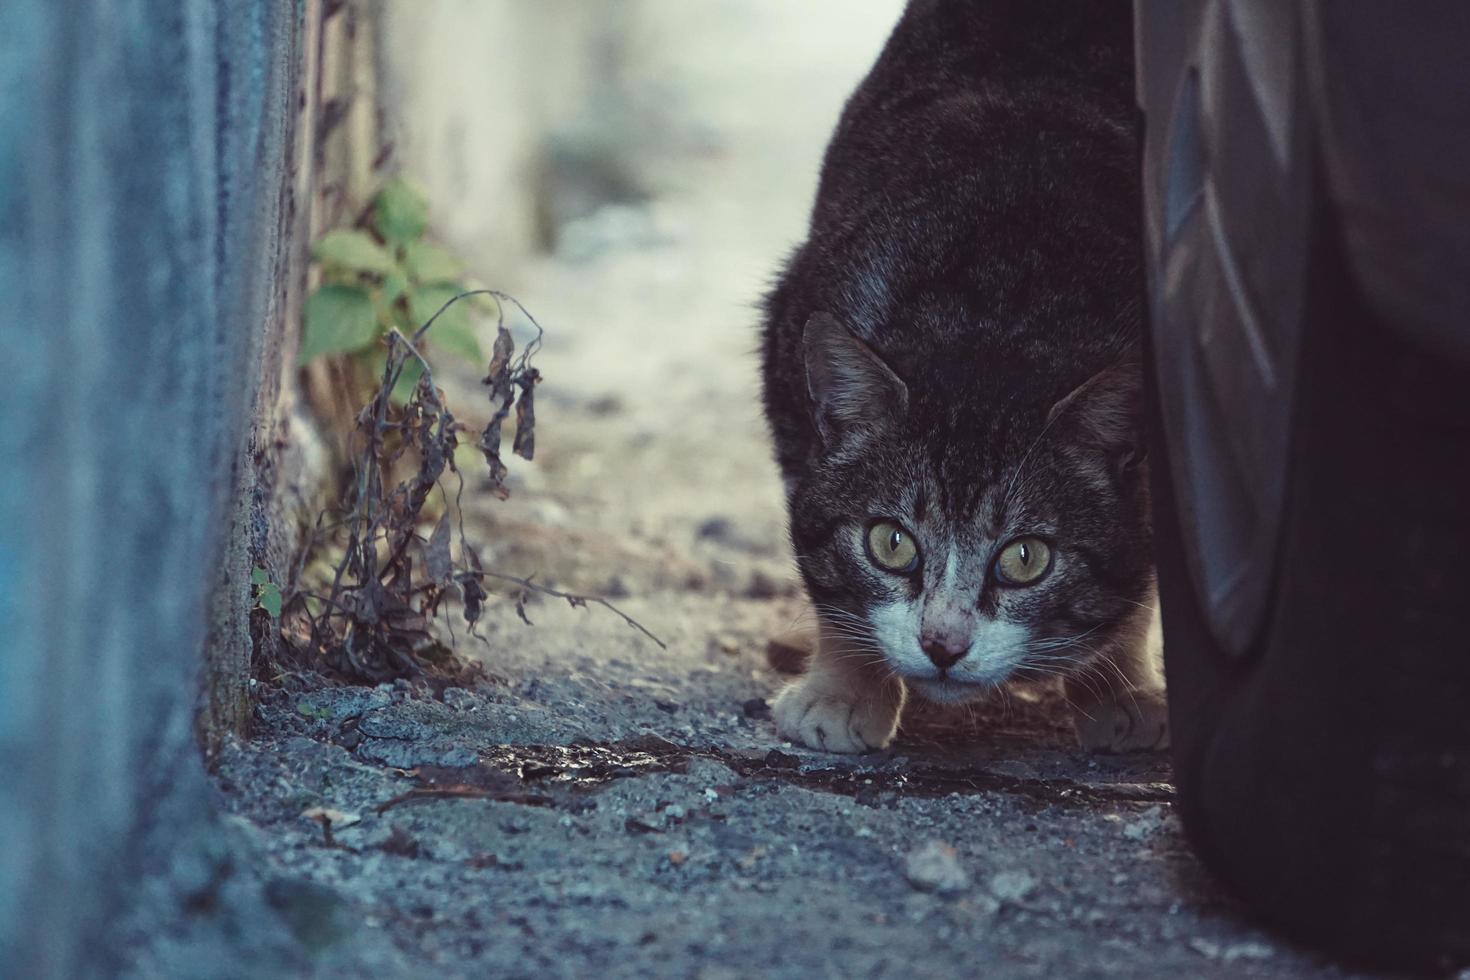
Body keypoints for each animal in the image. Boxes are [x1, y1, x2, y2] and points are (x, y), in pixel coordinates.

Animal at [758, 0, 1158, 758]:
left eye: (1025, 559)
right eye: (891, 543)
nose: (943, 645)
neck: (1001, 301)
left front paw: (1119, 687)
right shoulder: (790, 352)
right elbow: (825, 563)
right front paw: (843, 691)